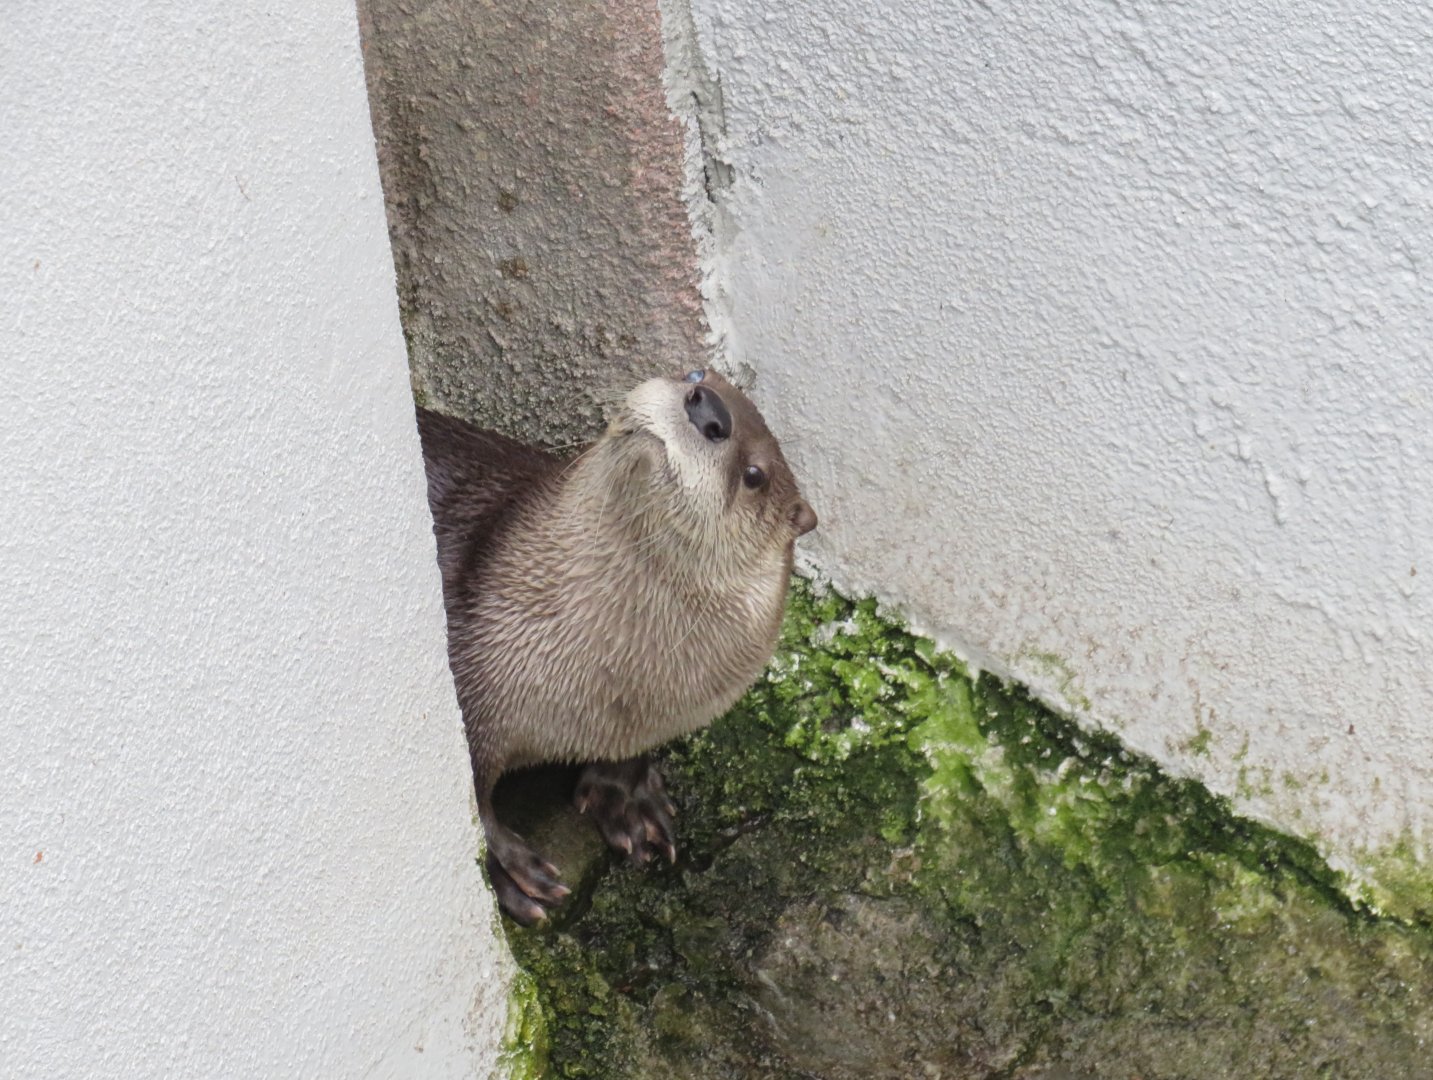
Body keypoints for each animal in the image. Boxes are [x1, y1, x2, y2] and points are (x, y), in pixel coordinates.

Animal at [418, 369, 817, 924]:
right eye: (695, 374)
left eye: (755, 474)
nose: (708, 408)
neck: (602, 688)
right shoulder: (470, 686)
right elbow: (473, 799)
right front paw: (509, 870)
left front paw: (629, 802)